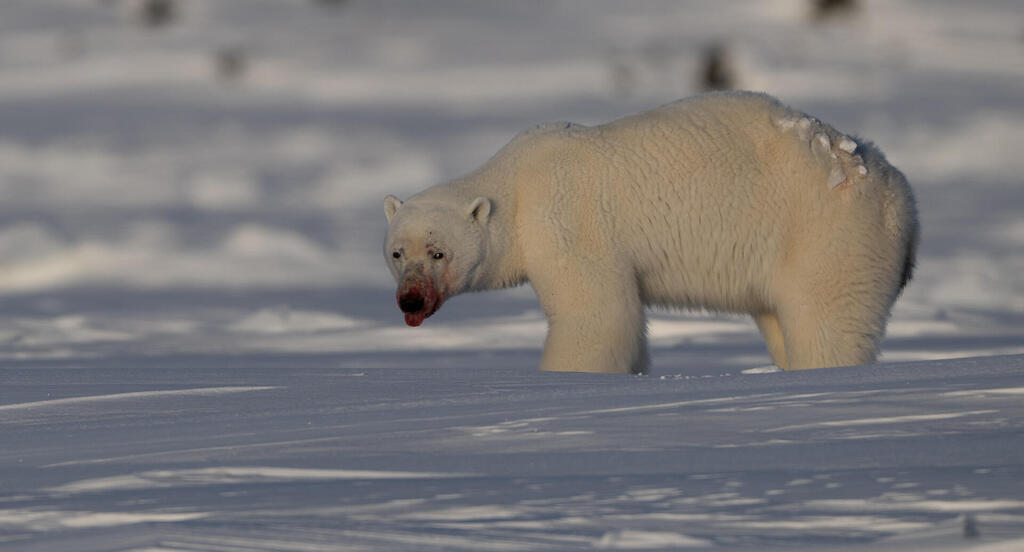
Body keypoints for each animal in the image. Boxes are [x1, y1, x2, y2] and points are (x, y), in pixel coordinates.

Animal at [383, 91, 919, 374]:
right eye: (396, 253)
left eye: (437, 252)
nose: (410, 299)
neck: (517, 185)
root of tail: (901, 198)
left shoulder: (568, 221)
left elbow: (597, 315)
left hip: (827, 236)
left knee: (827, 322)